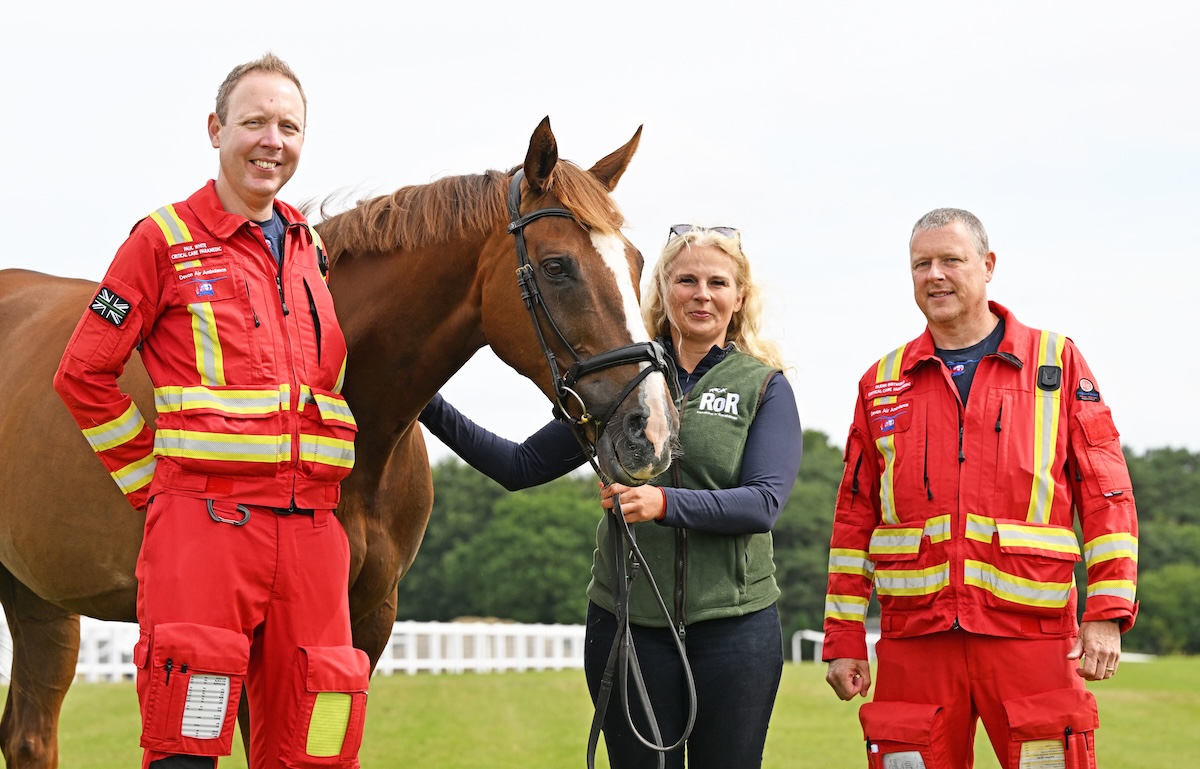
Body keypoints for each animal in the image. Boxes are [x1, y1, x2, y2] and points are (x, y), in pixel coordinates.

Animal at [0, 116, 676, 763]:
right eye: (558, 267)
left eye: (638, 262)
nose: (651, 429)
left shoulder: (367, 622)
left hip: (40, 602)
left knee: (30, 738)